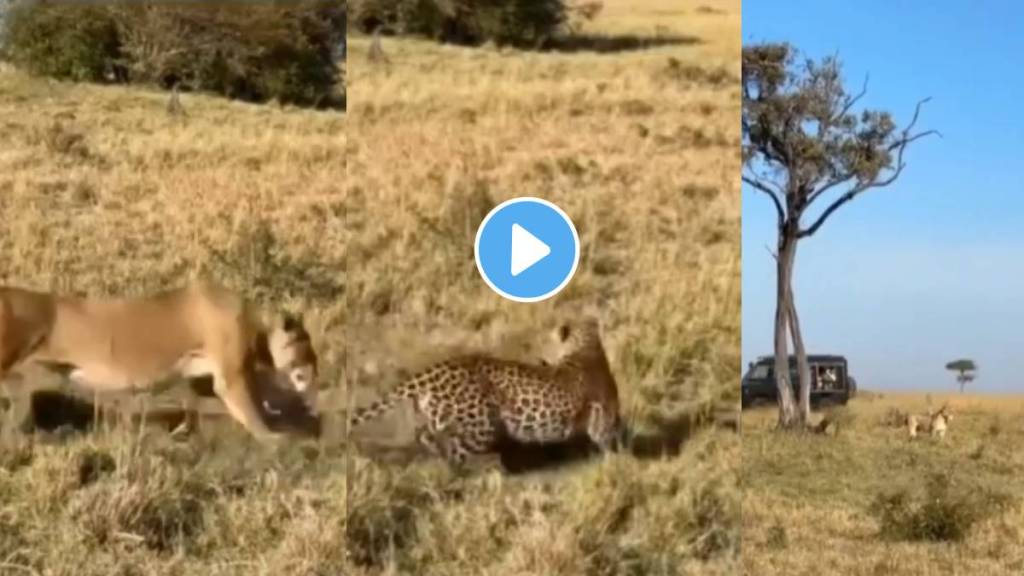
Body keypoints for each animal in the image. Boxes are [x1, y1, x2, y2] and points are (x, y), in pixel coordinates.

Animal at [348, 313, 618, 467]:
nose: (539, 356)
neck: (587, 346)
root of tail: (434, 369)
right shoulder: (602, 418)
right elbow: (608, 443)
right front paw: (615, 464)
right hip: (482, 425)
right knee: (455, 455)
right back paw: (485, 467)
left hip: (439, 416)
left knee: (427, 437)